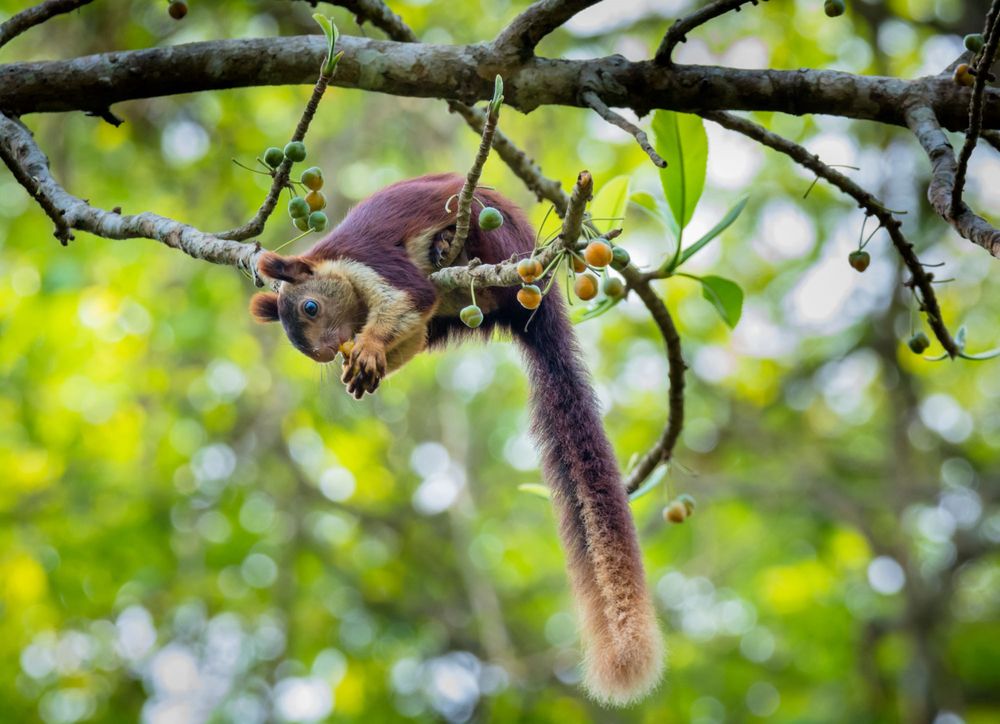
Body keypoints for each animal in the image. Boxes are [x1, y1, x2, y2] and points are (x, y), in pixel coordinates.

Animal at [249, 173, 664, 706]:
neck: (337, 266)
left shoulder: (377, 264)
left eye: (310, 306)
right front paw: (367, 363)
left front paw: (367, 347)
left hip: (497, 242)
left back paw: (451, 246)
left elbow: (409, 299)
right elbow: (411, 330)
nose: (323, 353)